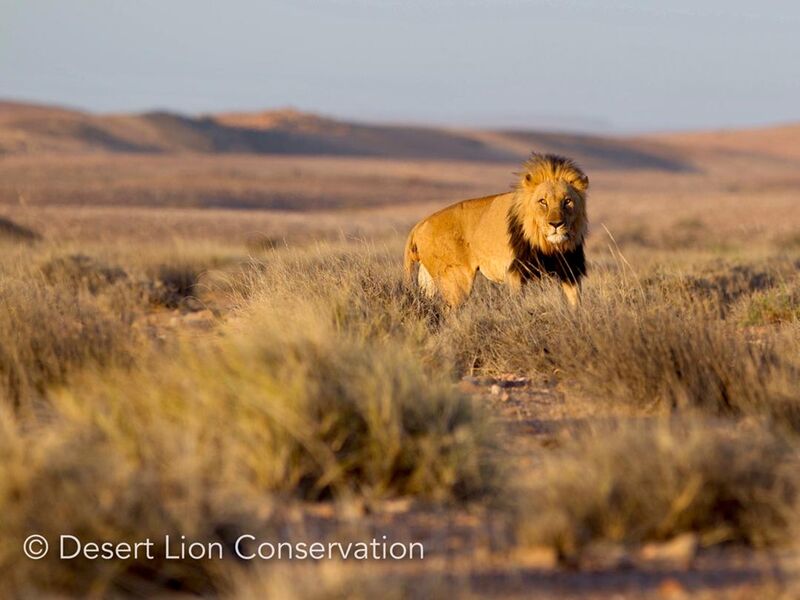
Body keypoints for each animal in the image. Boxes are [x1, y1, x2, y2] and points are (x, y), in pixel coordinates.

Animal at [406, 152, 588, 308]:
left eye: (567, 201)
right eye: (543, 201)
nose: (556, 224)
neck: (549, 246)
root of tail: (419, 224)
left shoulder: (570, 270)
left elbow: (576, 303)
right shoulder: (516, 272)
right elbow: (518, 303)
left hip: (427, 280)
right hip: (456, 279)